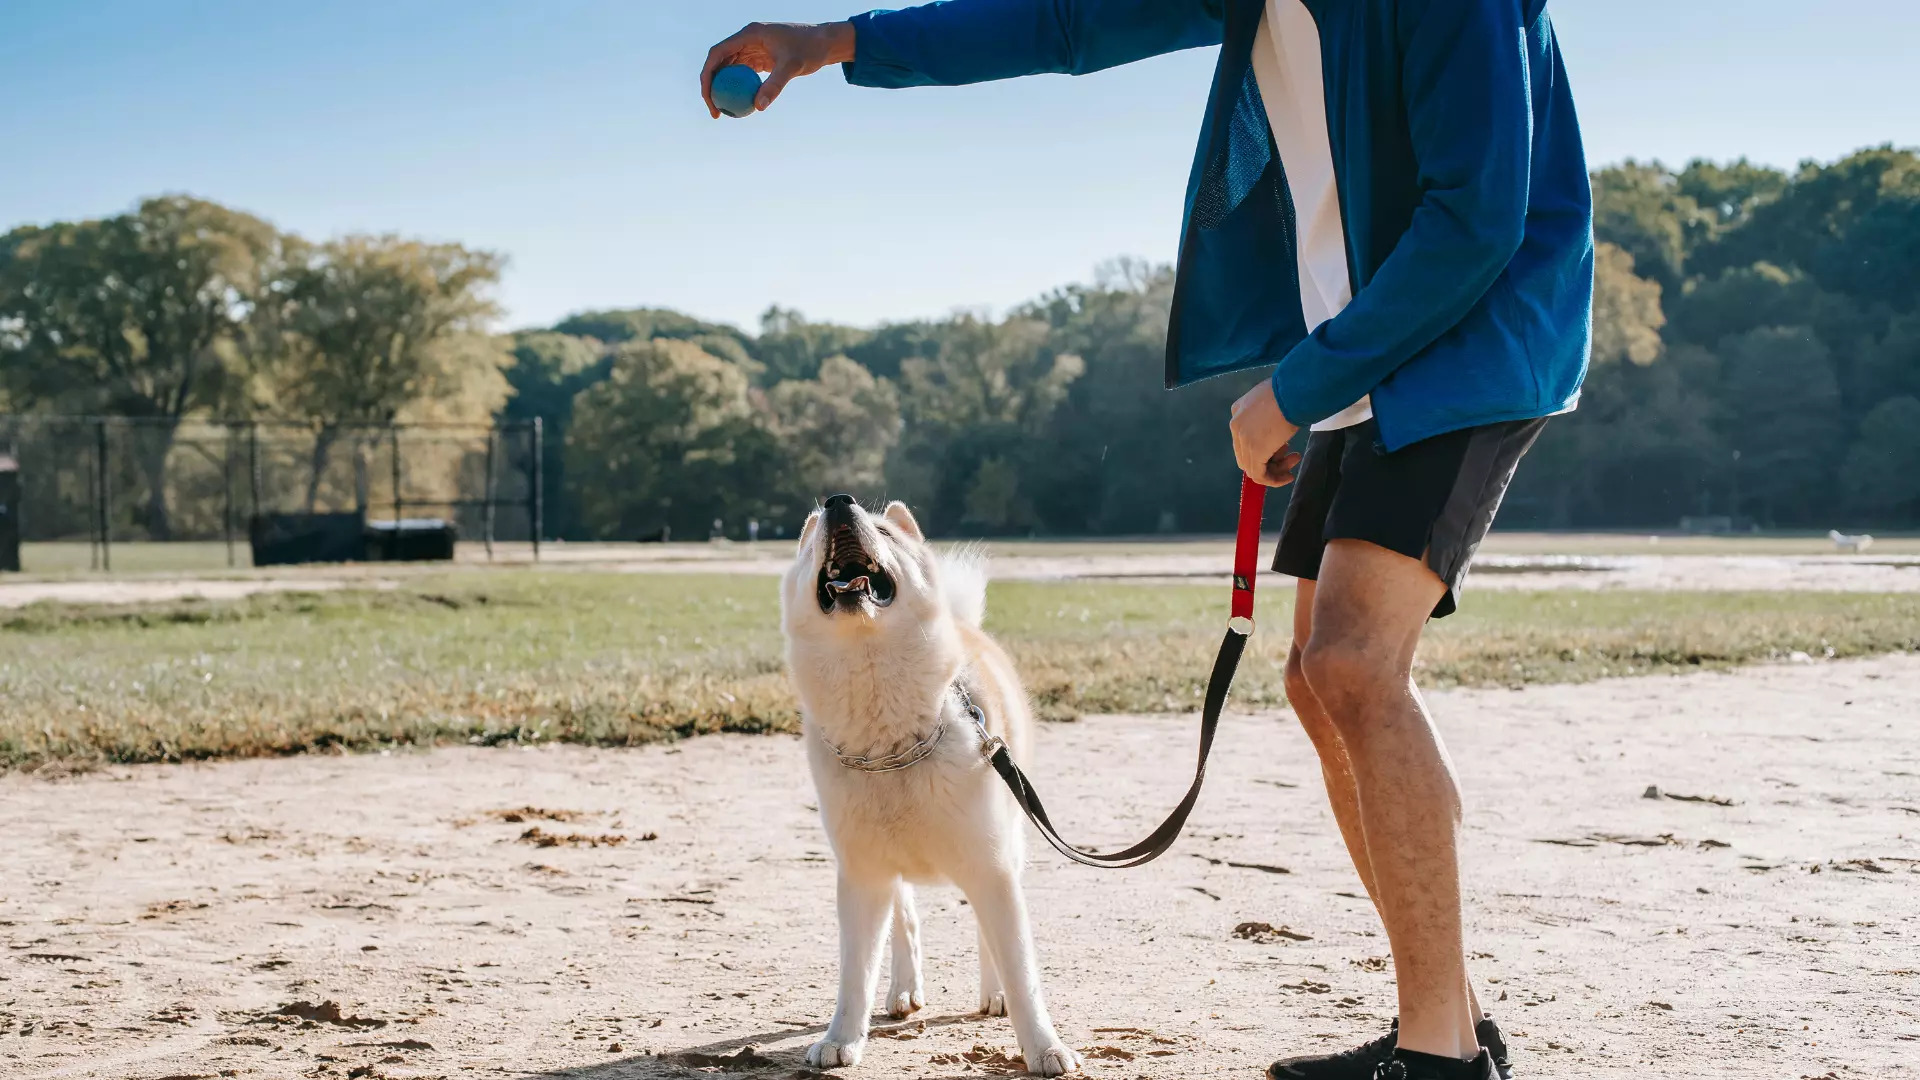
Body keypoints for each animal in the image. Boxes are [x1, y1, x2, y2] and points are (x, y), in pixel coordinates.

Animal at [779, 495, 1082, 1068]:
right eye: (812, 540)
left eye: (881, 531)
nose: (838, 503)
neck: (892, 748)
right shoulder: (863, 875)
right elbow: (856, 973)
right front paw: (841, 1039)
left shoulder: (991, 866)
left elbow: (1022, 972)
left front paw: (1044, 1047)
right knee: (905, 923)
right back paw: (903, 989)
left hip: (1007, 847)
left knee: (987, 936)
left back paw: (992, 994)